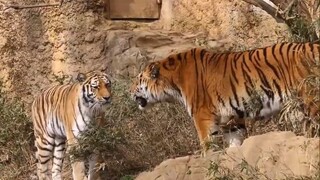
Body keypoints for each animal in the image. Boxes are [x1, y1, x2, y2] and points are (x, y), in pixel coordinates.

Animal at [130, 41, 320, 156]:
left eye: (138, 79)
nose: (129, 91)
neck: (172, 84)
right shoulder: (232, 118)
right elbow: (234, 143)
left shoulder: (202, 116)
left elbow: (207, 143)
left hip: (311, 97)